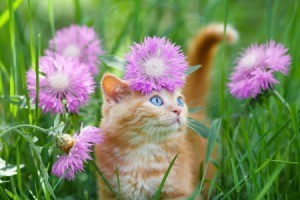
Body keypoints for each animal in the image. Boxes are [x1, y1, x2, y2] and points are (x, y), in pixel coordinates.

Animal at [95, 24, 238, 199]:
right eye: (156, 101)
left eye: (179, 101)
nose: (178, 110)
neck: (142, 154)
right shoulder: (107, 190)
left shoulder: (183, 193)